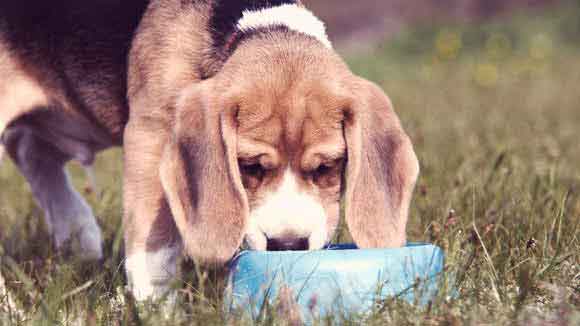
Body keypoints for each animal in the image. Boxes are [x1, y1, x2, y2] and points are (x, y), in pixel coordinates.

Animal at [0, 0, 416, 300]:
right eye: (249, 166)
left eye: (327, 166)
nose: (287, 245)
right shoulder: (149, 136)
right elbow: (154, 247)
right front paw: (156, 307)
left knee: (29, 149)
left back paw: (78, 233)